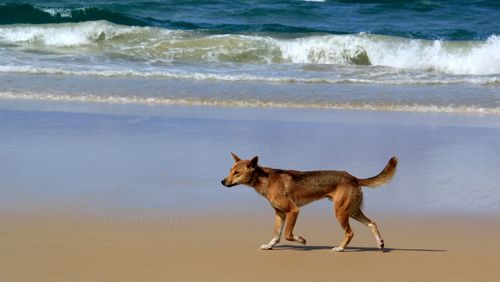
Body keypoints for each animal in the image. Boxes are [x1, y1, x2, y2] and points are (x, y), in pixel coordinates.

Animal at [221, 153, 396, 252]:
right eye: (230, 171)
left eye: (237, 173)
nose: (222, 182)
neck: (266, 180)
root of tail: (353, 178)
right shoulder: (279, 213)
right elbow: (276, 234)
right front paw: (270, 246)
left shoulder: (293, 211)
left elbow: (287, 234)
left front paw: (301, 240)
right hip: (351, 211)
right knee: (372, 222)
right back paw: (380, 243)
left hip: (341, 212)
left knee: (350, 232)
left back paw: (340, 248)